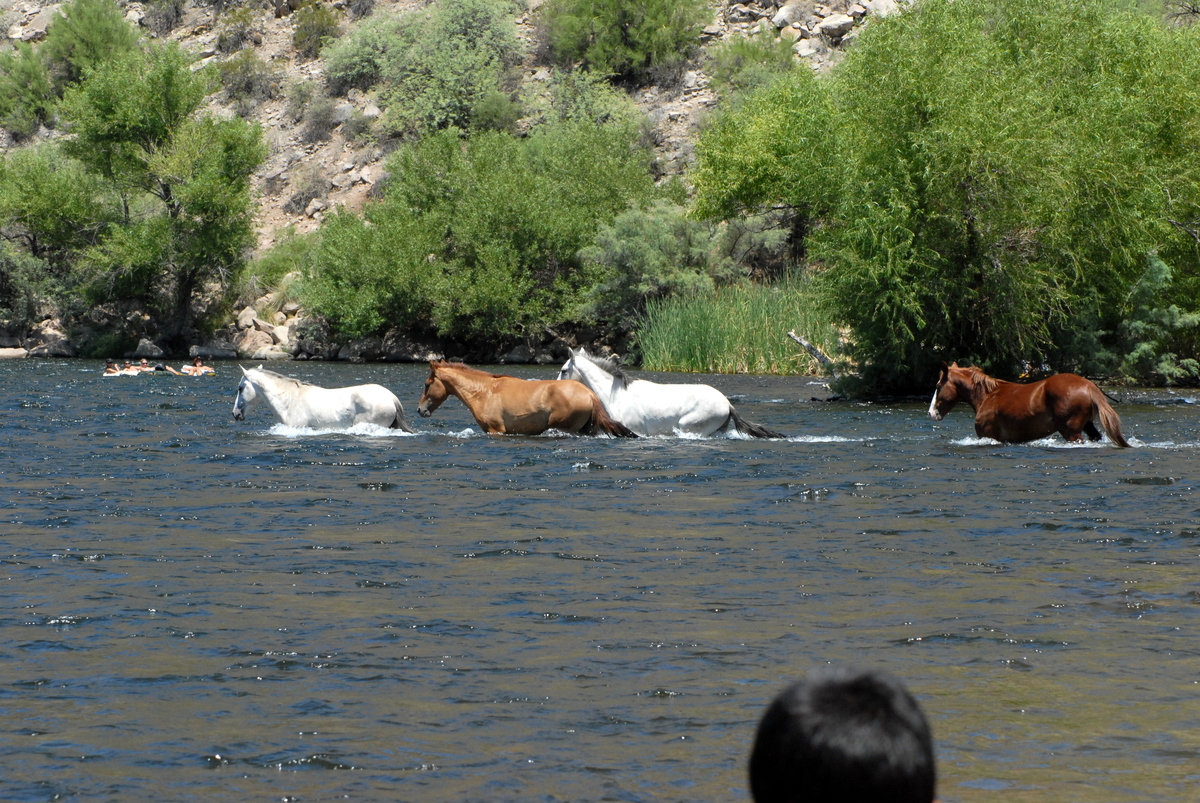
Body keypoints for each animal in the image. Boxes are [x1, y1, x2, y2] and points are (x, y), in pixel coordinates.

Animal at [926, 362, 1132, 444]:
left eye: (938, 386)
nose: (931, 413)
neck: (988, 396)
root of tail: (1088, 385)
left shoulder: (987, 435)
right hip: (1088, 426)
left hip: (1071, 431)